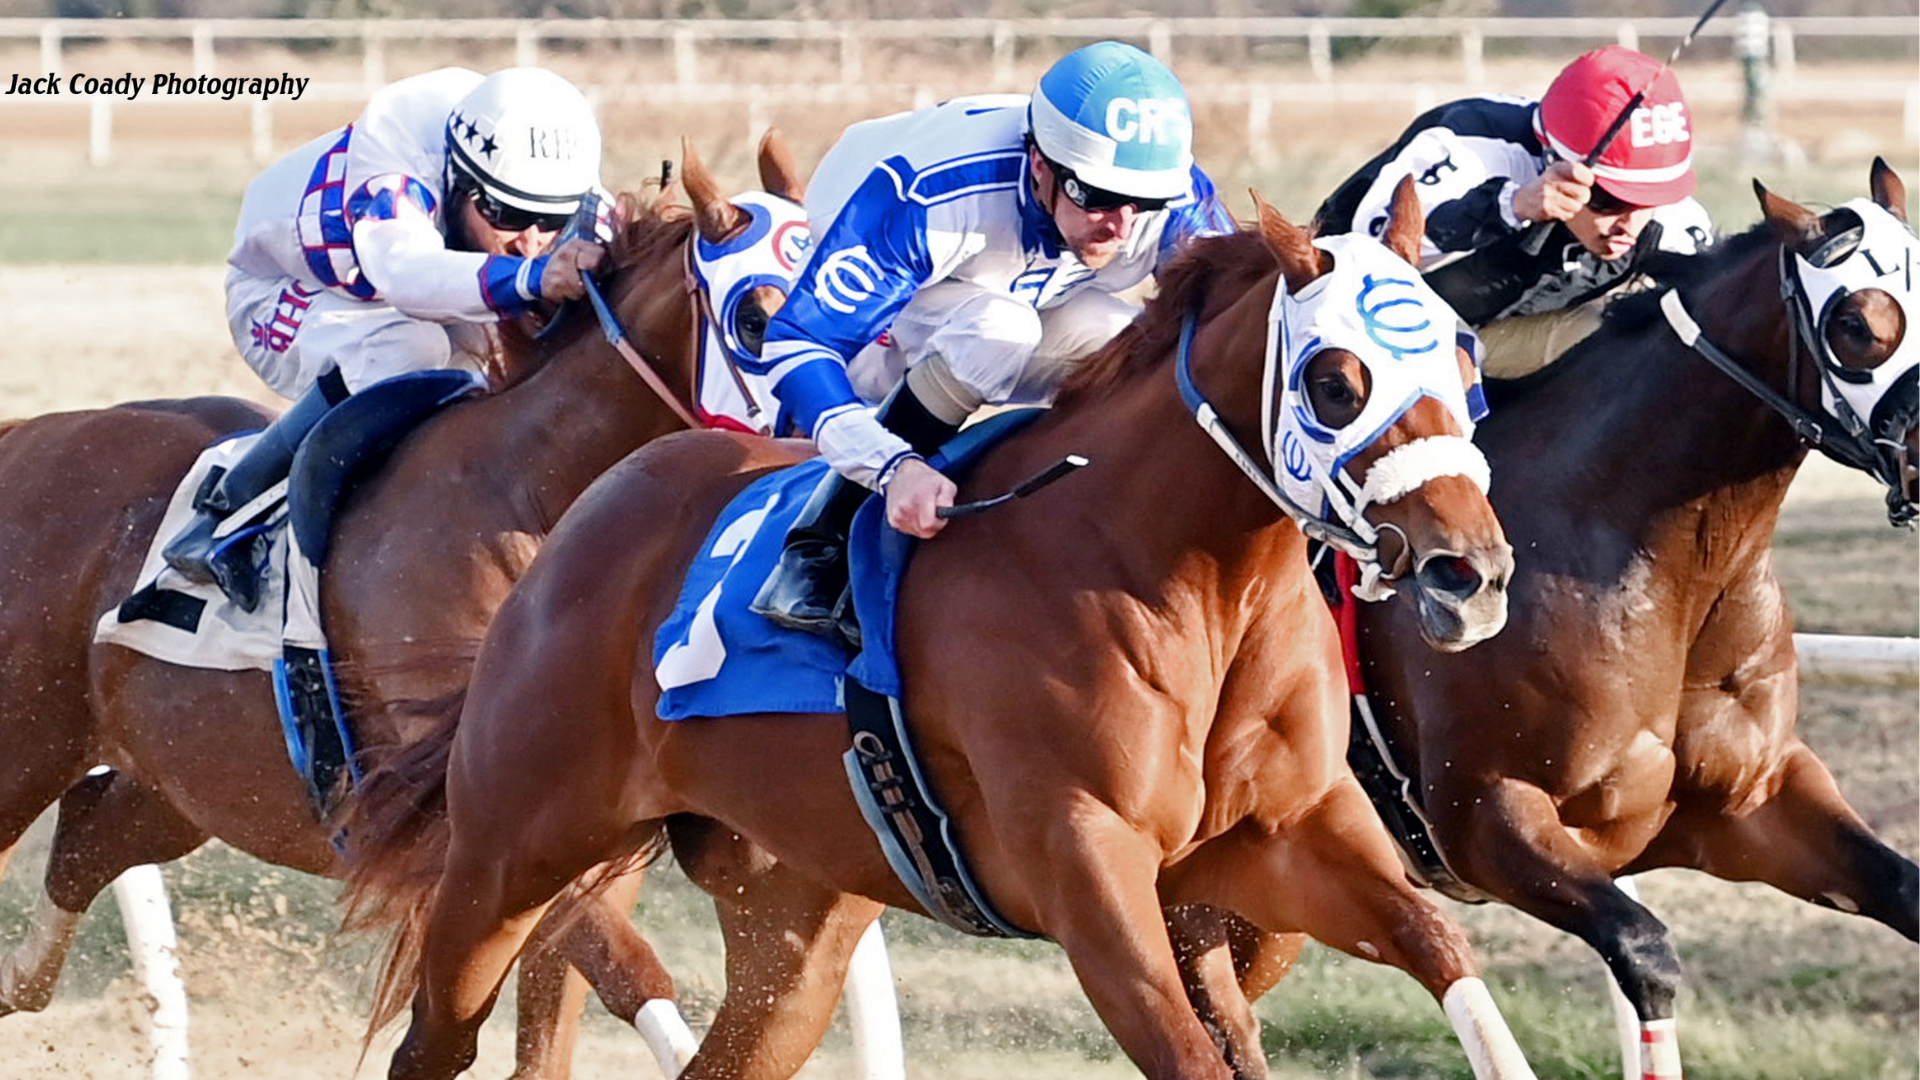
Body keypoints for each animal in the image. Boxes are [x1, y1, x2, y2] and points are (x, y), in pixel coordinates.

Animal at [0, 133, 807, 1079]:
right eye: (758, 319)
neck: (532, 494)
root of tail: (27, 437)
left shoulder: (588, 824)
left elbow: (564, 1012)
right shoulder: (475, 827)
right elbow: (626, 968)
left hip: (190, 778)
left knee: (88, 837)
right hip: (30, 742)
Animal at [341, 179, 1542, 1080]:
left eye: (1465, 357)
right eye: (1336, 381)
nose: (1471, 573)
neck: (1182, 577)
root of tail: (592, 509)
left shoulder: (1287, 834)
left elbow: (1442, 949)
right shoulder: (1085, 864)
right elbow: (1188, 1043)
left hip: (796, 919)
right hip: (511, 852)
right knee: (436, 1037)